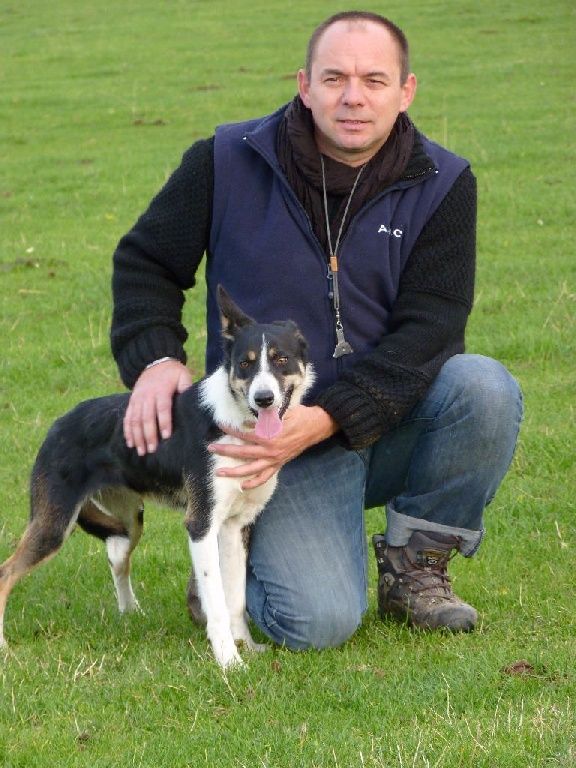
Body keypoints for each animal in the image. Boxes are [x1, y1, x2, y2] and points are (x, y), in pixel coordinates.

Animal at [0, 284, 316, 668]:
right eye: (245, 363)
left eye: (281, 359)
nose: (264, 398)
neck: (236, 423)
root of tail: (57, 425)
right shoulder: (201, 525)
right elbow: (217, 602)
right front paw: (228, 661)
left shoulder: (235, 526)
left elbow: (235, 599)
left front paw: (246, 647)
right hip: (53, 524)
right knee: (5, 573)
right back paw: (3, 645)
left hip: (129, 520)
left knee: (116, 554)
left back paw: (130, 613)